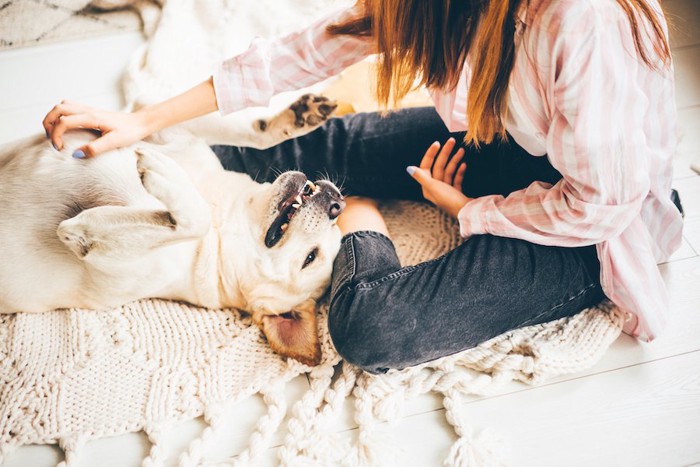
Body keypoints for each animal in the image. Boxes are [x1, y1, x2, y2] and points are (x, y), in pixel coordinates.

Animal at [0, 93, 344, 368]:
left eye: (310, 258)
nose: (337, 204)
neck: (222, 210)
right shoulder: (168, 129)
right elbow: (244, 130)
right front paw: (296, 117)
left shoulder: (105, 259)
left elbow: (194, 218)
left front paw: (162, 176)